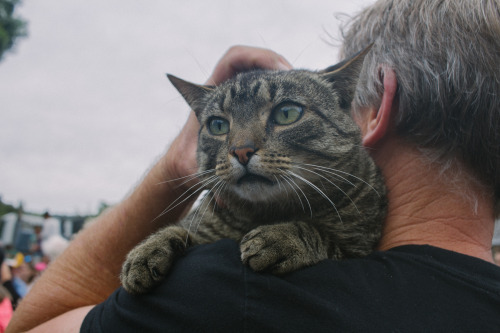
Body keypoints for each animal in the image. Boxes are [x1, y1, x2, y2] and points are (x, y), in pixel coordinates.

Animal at [120, 46, 386, 294]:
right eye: (218, 125)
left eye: (287, 113)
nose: (241, 151)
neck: (267, 212)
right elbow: (180, 229)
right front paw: (146, 250)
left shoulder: (358, 250)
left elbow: (318, 234)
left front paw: (281, 237)